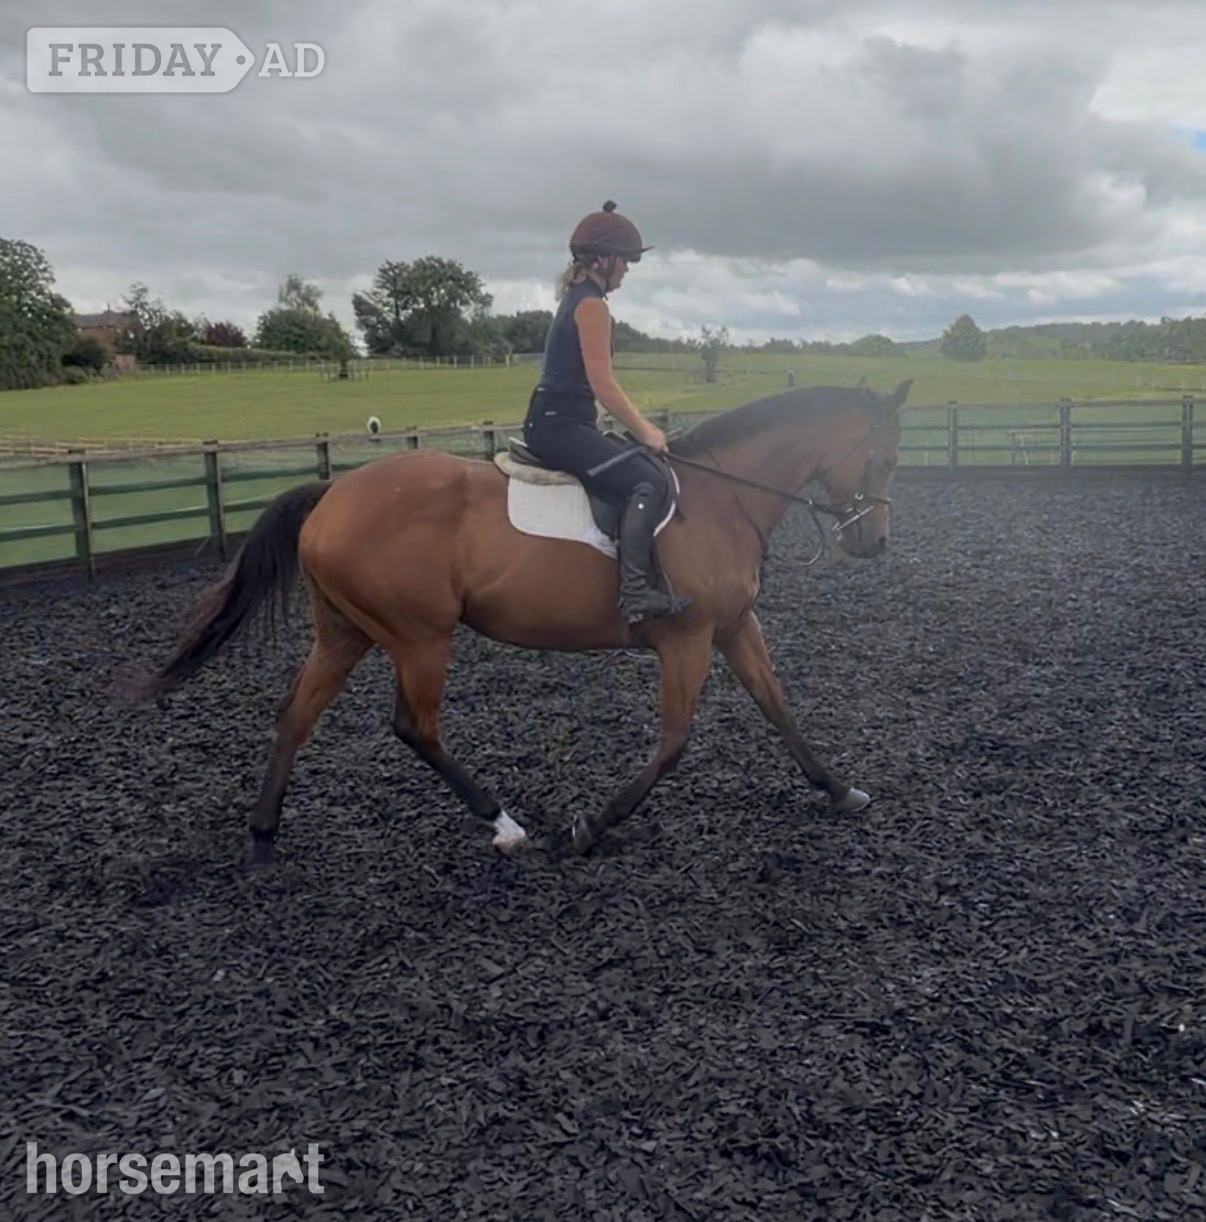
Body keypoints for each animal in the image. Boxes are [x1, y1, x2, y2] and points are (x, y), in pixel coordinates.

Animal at [121, 378, 912, 864]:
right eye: (883, 456)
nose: (873, 542)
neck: (721, 499)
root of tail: (333, 493)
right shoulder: (686, 638)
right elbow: (674, 742)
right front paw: (589, 827)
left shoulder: (733, 625)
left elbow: (779, 709)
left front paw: (841, 790)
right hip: (420, 636)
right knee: (415, 727)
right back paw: (504, 823)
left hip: (346, 631)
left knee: (295, 713)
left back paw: (263, 834)